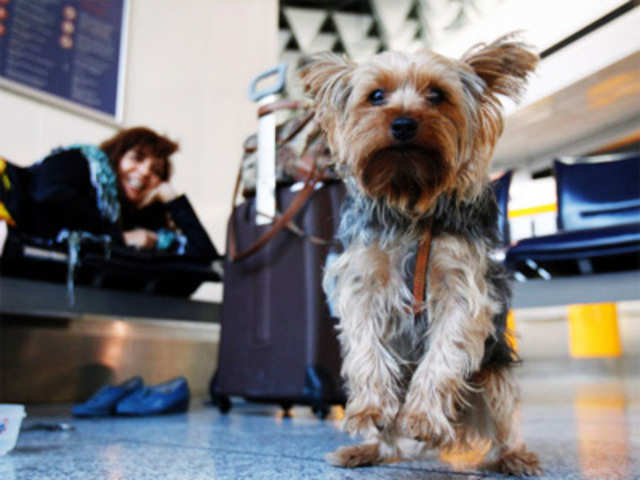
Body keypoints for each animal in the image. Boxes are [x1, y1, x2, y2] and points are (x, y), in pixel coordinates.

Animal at [300, 34, 540, 476]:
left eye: (437, 95)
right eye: (376, 96)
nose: (403, 123)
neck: (410, 200)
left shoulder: (462, 289)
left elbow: (445, 352)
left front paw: (424, 416)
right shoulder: (363, 282)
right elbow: (365, 348)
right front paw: (368, 408)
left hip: (495, 366)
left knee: (503, 411)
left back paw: (512, 455)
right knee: (388, 437)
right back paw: (370, 448)